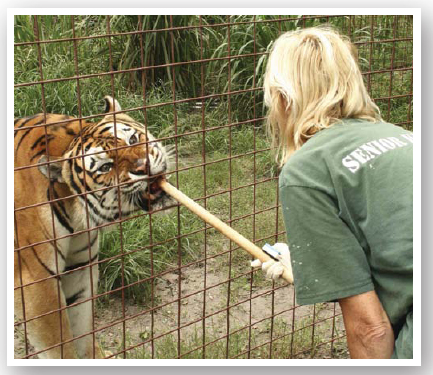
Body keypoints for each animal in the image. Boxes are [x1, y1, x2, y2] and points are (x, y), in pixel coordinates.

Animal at [14, 95, 175, 360]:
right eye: (105, 167)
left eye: (132, 139)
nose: (143, 167)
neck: (76, 214)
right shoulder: (35, 280)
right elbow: (61, 346)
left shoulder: (79, 267)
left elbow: (83, 331)